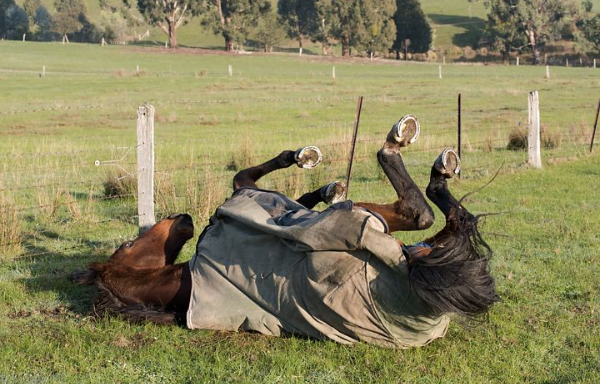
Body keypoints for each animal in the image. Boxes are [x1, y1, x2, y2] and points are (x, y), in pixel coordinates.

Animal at [72, 116, 500, 348]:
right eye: (129, 243)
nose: (182, 217)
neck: (184, 285)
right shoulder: (245, 195)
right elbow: (245, 175)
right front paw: (304, 162)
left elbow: (292, 192)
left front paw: (321, 181)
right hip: (372, 226)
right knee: (420, 209)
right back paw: (408, 147)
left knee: (430, 214)